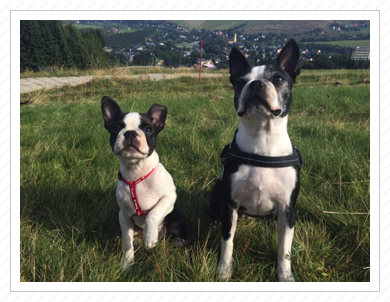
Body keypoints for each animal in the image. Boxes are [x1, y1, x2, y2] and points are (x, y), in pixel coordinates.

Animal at [100, 97, 186, 274]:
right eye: (116, 128)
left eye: (147, 129)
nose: (130, 133)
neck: (137, 172)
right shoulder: (124, 215)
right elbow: (127, 243)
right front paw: (127, 264)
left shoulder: (169, 197)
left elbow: (153, 213)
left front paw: (149, 237)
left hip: (176, 218)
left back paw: (179, 241)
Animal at [212, 39, 304, 282]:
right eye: (240, 82)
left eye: (279, 78)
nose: (255, 84)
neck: (263, 138)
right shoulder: (230, 204)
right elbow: (227, 240)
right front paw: (224, 271)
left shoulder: (288, 208)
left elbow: (285, 248)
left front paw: (285, 275)